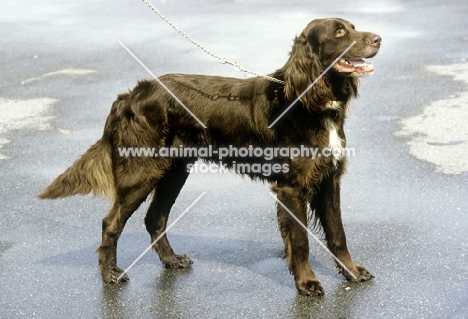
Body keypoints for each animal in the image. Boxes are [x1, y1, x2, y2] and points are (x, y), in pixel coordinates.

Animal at [40, 18, 380, 298]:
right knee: (111, 222)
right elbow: (300, 241)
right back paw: (110, 274)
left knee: (155, 217)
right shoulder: (292, 186)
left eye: (353, 26)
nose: (378, 38)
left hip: (175, 170)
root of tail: (128, 97)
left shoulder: (329, 178)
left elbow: (338, 233)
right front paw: (307, 283)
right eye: (339, 32)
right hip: (142, 171)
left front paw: (352, 272)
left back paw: (172, 260)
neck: (309, 100)